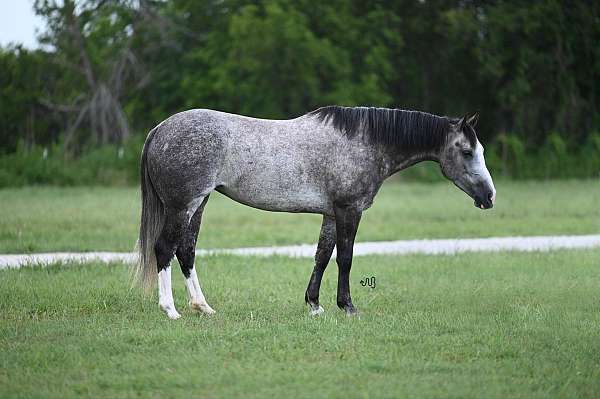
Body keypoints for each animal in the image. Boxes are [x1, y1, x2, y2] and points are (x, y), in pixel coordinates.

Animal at [136, 105, 496, 318]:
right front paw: (347, 306)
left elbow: (322, 256)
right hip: (182, 206)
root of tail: (159, 130)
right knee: (164, 249)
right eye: (466, 151)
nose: (489, 197)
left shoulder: (331, 214)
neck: (363, 142)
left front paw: (314, 304)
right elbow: (345, 258)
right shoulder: (350, 210)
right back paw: (170, 310)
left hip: (198, 205)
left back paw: (203, 306)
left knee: (186, 251)